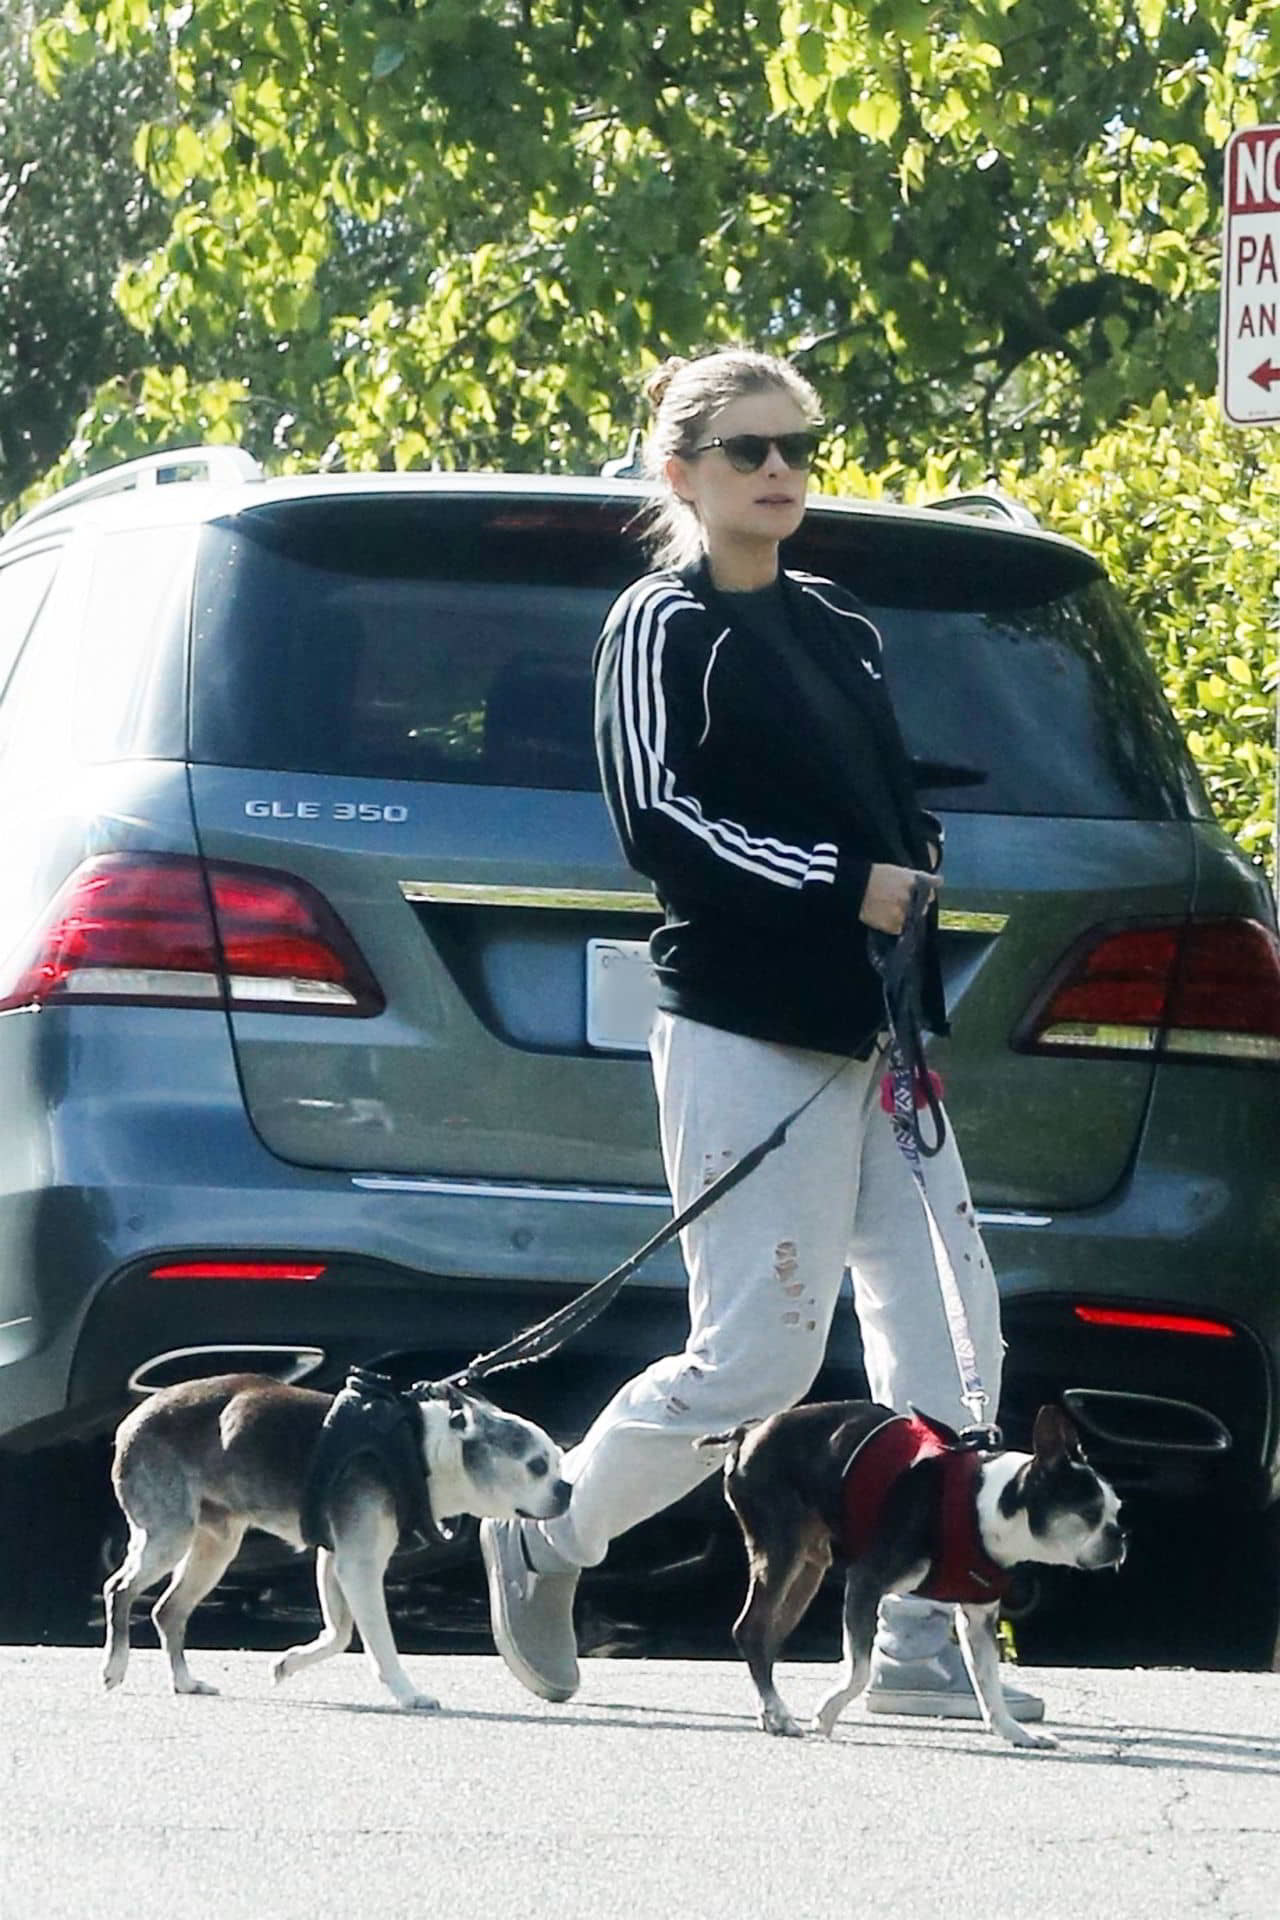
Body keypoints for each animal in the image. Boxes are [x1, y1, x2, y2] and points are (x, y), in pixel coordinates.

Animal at [102, 1367, 571, 1712]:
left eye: (557, 1463)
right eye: (536, 1466)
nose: (566, 1488)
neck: (422, 1452)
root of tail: (129, 1423)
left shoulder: (334, 1559)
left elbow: (340, 1633)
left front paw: (289, 1662)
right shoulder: (359, 1566)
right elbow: (379, 1642)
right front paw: (407, 1693)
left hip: (216, 1545)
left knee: (168, 1610)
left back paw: (185, 1682)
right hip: (170, 1535)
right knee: (119, 1588)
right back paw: (115, 1665)